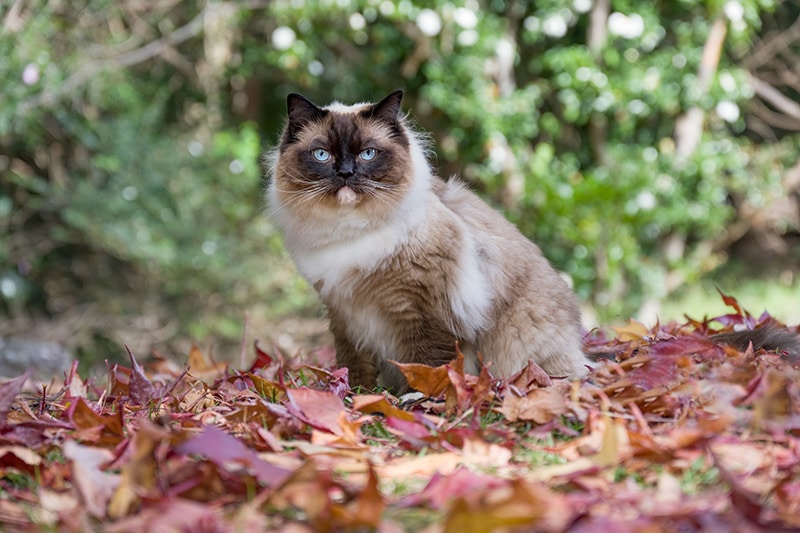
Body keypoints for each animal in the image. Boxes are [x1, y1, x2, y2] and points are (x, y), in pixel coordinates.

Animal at [266, 89, 592, 392]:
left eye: (368, 154)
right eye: (322, 155)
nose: (346, 173)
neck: (350, 234)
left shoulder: (423, 311)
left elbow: (426, 363)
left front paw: (419, 400)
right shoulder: (344, 314)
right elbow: (354, 366)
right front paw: (354, 395)